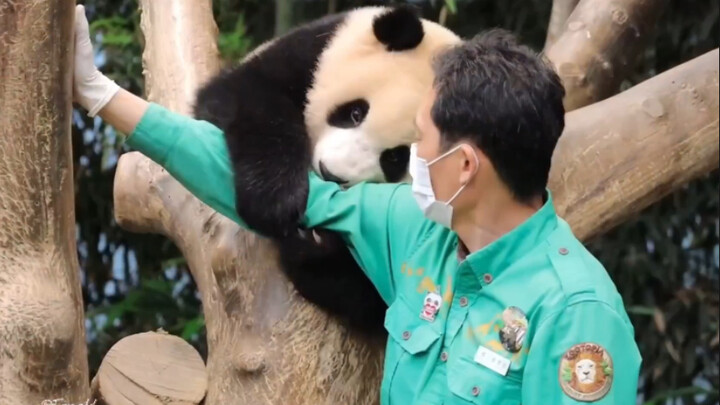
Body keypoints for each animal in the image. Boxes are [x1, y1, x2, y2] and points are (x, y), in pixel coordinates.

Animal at [193, 5, 461, 337]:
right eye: (355, 112)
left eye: (396, 158)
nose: (330, 173)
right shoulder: (310, 53)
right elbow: (245, 95)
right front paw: (275, 201)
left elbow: (375, 298)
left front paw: (314, 244)